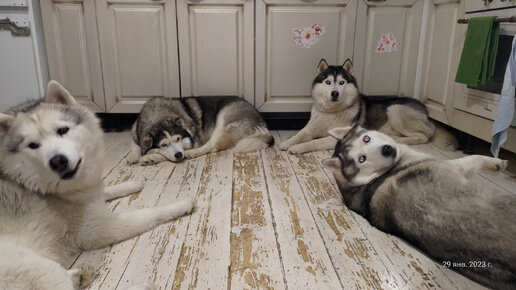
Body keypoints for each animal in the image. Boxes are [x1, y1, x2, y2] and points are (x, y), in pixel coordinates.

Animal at [127, 96, 274, 165]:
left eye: (178, 139)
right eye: (163, 144)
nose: (179, 155)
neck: (159, 116)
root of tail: (263, 126)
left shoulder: (192, 141)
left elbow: (164, 154)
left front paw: (150, 157)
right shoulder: (135, 133)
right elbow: (135, 146)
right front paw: (132, 156)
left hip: (224, 120)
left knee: (211, 146)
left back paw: (190, 153)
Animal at [322, 124, 516, 288]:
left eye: (366, 139)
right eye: (362, 159)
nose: (387, 149)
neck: (377, 177)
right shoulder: (454, 166)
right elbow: (474, 158)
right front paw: (496, 163)